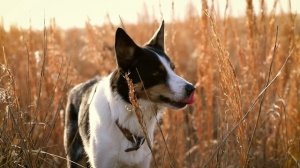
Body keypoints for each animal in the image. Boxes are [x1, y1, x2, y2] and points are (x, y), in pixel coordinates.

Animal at [63, 21, 196, 168]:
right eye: (157, 73)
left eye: (173, 69)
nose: (192, 88)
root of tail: (77, 87)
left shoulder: (142, 163)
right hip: (75, 154)